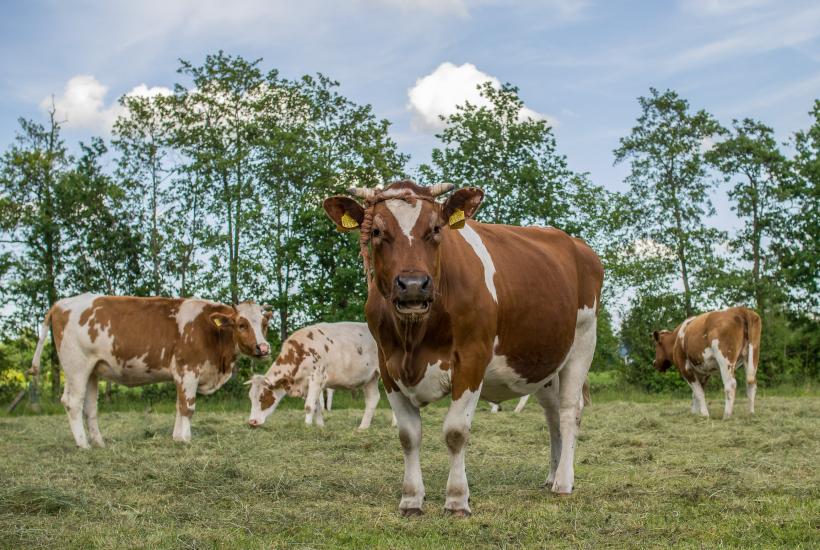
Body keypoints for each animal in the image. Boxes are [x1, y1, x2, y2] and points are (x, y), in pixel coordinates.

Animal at [28, 293, 271, 448]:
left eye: (264, 324)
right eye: (241, 324)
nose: (263, 348)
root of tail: (60, 303)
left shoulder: (180, 375)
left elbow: (178, 406)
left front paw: (177, 438)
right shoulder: (188, 370)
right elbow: (187, 407)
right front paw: (186, 439)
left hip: (92, 371)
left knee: (90, 408)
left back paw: (98, 443)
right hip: (76, 367)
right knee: (72, 403)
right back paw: (83, 445)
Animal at [247, 322, 388, 429]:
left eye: (263, 397)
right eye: (251, 397)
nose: (252, 421)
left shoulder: (317, 378)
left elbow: (309, 406)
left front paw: (307, 427)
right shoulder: (307, 385)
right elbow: (317, 406)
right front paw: (320, 427)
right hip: (370, 378)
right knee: (373, 399)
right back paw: (363, 428)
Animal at [323, 180, 604, 516]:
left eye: (435, 229)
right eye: (376, 231)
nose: (413, 285)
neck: (415, 338)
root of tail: (576, 244)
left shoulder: (471, 359)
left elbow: (455, 432)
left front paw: (457, 500)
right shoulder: (388, 366)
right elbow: (408, 435)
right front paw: (411, 499)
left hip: (583, 340)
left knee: (569, 411)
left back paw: (563, 482)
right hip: (544, 361)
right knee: (551, 415)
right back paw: (551, 475)